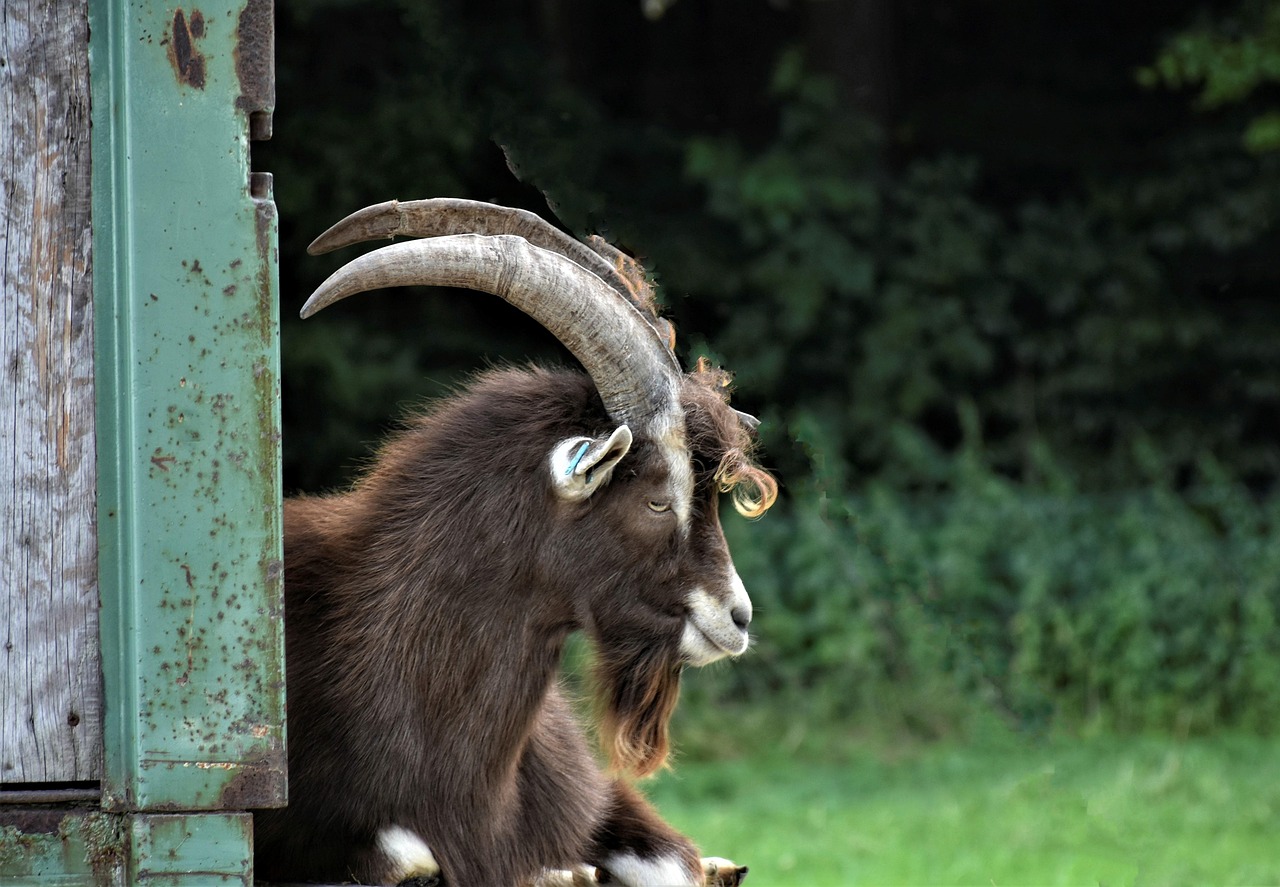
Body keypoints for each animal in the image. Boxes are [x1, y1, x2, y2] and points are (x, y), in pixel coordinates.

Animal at [253, 199, 776, 887]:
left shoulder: (595, 800)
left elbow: (672, 864)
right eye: (657, 499)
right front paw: (565, 875)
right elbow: (411, 856)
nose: (737, 617)